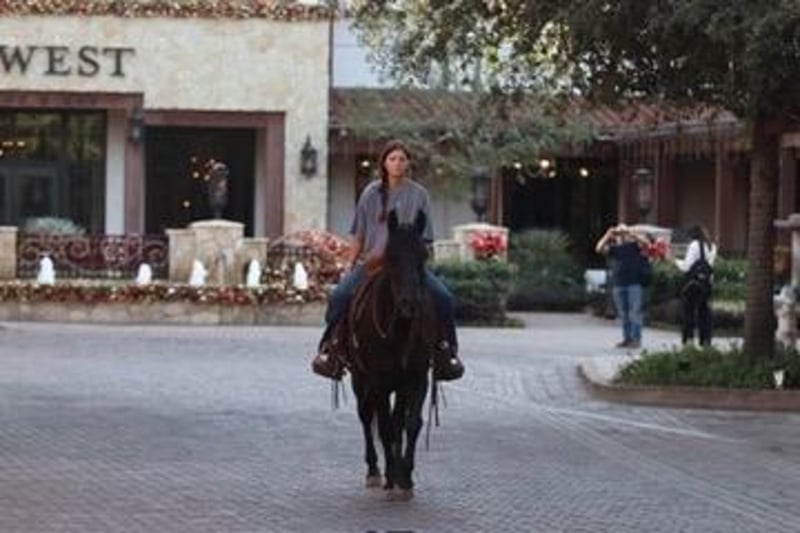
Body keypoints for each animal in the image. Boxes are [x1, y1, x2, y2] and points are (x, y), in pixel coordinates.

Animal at [345, 208, 436, 500]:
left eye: (423, 255)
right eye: (391, 255)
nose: (409, 304)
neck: (399, 332)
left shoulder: (417, 378)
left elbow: (411, 424)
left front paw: (404, 477)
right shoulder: (378, 381)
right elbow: (383, 427)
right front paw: (391, 475)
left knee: (396, 421)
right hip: (360, 379)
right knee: (366, 416)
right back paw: (376, 470)